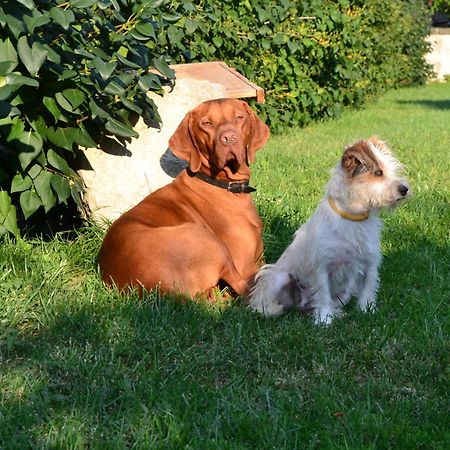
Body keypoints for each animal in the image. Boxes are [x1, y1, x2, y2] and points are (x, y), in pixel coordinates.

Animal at [99, 98, 268, 298]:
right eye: (206, 123)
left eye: (239, 117)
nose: (229, 138)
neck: (222, 184)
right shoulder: (246, 266)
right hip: (205, 238)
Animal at [250, 137, 412, 324]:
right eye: (378, 173)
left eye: (392, 171)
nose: (404, 189)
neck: (353, 218)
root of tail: (301, 305)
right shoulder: (322, 266)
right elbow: (323, 294)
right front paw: (324, 320)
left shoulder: (370, 261)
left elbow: (368, 288)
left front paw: (366, 311)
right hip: (280, 278)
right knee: (264, 302)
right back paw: (272, 310)